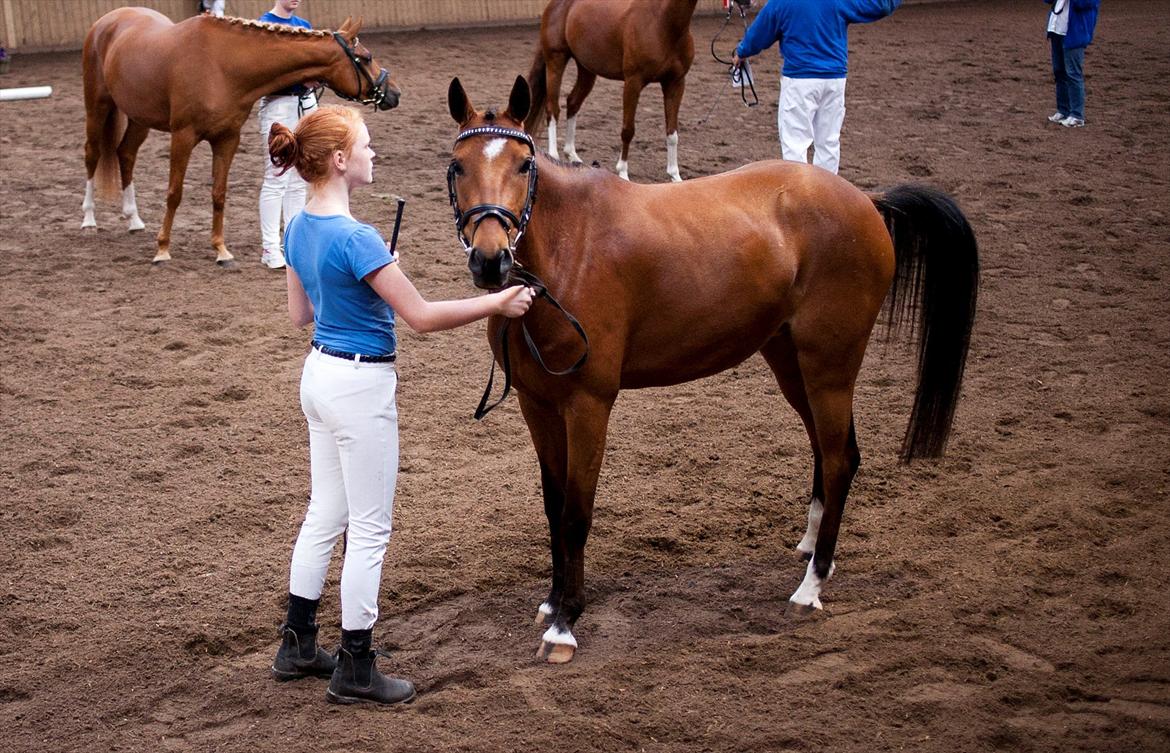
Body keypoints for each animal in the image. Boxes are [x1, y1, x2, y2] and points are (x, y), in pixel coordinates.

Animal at [78, 10, 397, 266]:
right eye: (366, 57)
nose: (394, 93)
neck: (222, 65)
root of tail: (106, 21)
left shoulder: (227, 139)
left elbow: (219, 193)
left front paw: (221, 250)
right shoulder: (183, 136)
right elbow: (174, 193)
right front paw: (162, 249)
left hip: (138, 118)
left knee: (126, 154)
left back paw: (133, 219)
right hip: (98, 107)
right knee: (93, 154)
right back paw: (89, 219)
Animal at [446, 77, 978, 664]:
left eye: (524, 164)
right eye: (457, 166)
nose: (490, 260)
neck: (569, 252)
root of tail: (867, 200)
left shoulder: (588, 405)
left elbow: (576, 514)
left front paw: (565, 624)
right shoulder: (537, 404)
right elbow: (553, 504)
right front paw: (552, 600)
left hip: (830, 367)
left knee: (840, 461)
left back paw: (810, 589)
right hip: (791, 362)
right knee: (833, 451)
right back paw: (816, 550)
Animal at [526, 0, 706, 181]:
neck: (662, 22)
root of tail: (553, 5)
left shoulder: (675, 83)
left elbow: (672, 132)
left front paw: (675, 175)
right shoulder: (633, 82)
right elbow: (628, 130)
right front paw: (623, 172)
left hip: (586, 69)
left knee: (573, 103)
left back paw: (573, 156)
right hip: (555, 62)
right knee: (553, 109)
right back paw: (553, 156)